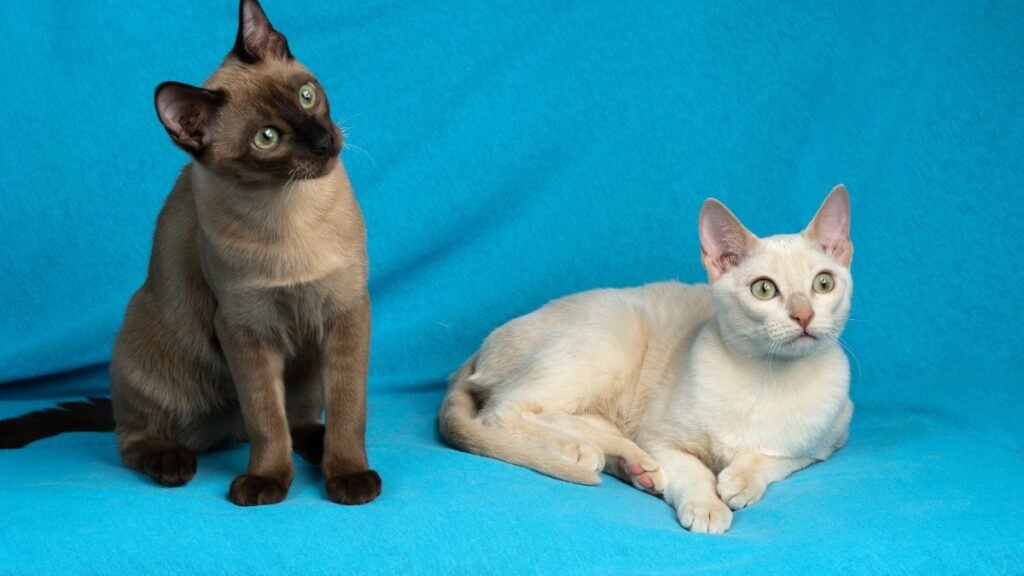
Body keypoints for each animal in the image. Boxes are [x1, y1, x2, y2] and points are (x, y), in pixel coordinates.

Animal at [0, 0, 380, 504]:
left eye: (305, 96)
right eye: (267, 138)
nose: (323, 142)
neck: (291, 210)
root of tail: (226, 430)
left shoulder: (346, 310)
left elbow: (347, 411)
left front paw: (349, 477)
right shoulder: (244, 328)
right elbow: (266, 419)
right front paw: (266, 481)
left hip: (304, 372)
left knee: (299, 419)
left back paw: (316, 447)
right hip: (148, 345)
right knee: (136, 436)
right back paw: (172, 463)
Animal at [436, 186, 851, 532]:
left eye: (823, 284)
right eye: (764, 289)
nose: (803, 315)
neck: (768, 378)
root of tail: (475, 352)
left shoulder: (830, 440)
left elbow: (776, 458)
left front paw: (739, 481)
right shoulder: (663, 440)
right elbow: (695, 472)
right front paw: (709, 507)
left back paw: (634, 468)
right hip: (610, 337)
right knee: (504, 411)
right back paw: (584, 453)